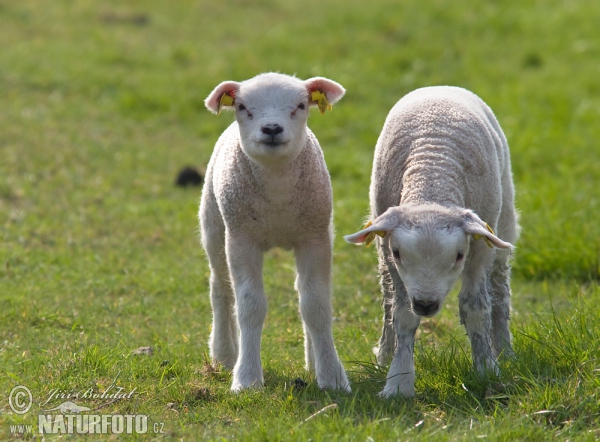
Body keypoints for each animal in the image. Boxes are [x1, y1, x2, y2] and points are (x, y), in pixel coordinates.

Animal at [202, 72, 352, 394]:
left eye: (301, 105)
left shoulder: (315, 239)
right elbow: (250, 306)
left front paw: (331, 376)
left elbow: (316, 305)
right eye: (242, 107)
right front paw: (246, 378)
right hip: (214, 226)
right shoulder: (241, 240)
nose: (271, 128)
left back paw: (312, 361)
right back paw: (224, 355)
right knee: (221, 289)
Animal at [344, 86, 516, 398]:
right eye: (399, 253)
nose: (425, 304)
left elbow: (476, 309)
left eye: (459, 256)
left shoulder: (479, 250)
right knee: (387, 299)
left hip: (503, 226)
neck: (433, 176)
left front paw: (487, 370)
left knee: (500, 291)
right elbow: (402, 314)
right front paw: (398, 380)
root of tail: (440, 87)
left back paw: (505, 352)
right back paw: (384, 353)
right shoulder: (390, 254)